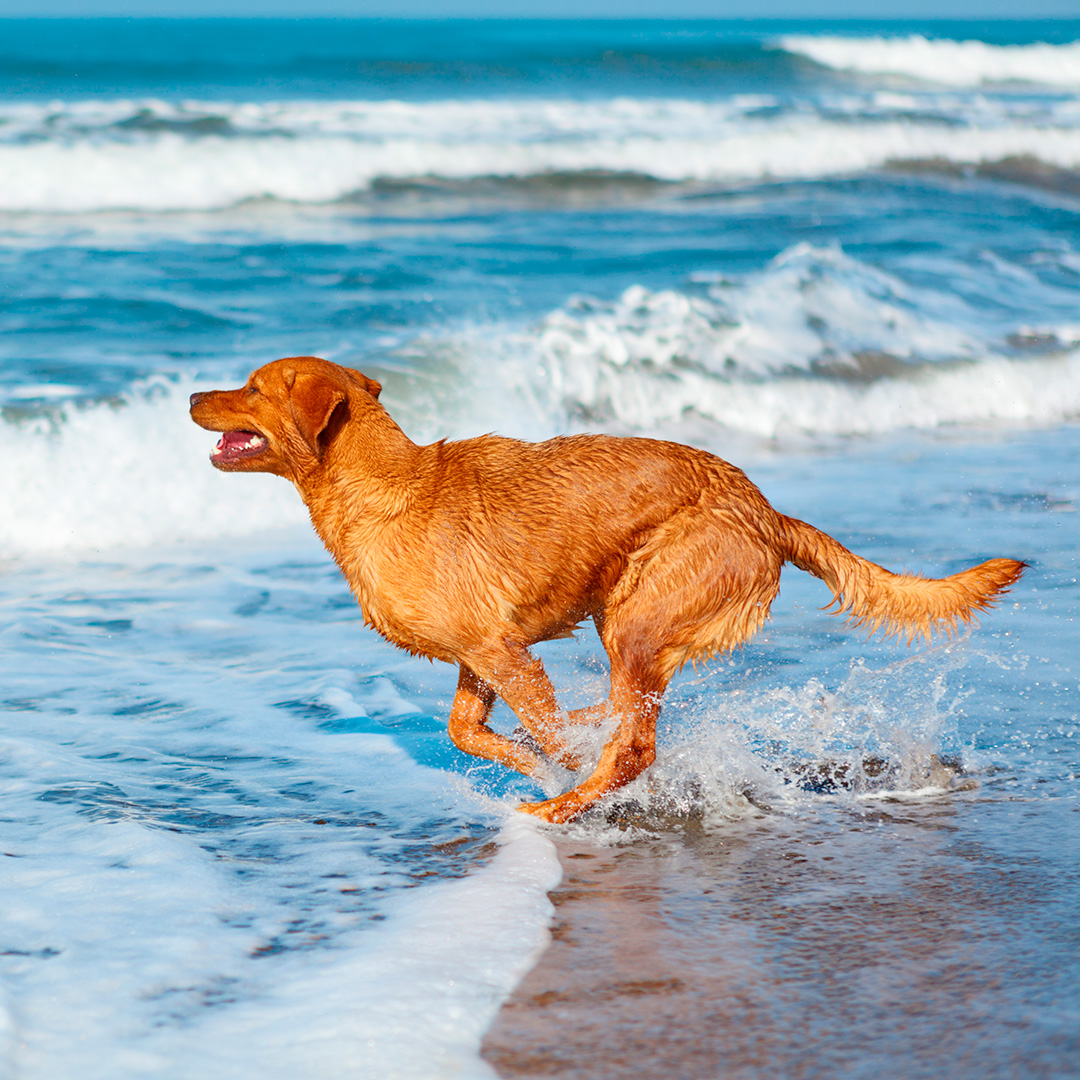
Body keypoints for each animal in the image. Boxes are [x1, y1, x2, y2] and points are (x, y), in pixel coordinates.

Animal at [190, 358, 1023, 820]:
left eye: (251, 388)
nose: (193, 394)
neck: (382, 487)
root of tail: (765, 510)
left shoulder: (501, 651)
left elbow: (551, 732)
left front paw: (554, 762)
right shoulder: (481, 654)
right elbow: (470, 731)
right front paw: (527, 754)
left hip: (636, 616)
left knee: (636, 744)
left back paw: (562, 806)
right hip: (625, 616)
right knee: (629, 717)